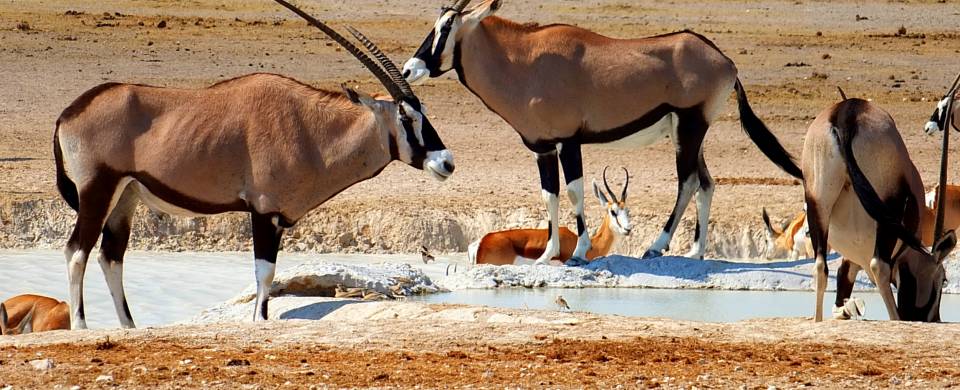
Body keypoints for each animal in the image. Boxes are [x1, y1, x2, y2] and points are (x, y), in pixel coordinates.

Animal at [53, 0, 454, 330]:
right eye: (406, 117)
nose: (446, 162)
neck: (310, 127)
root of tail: (69, 111)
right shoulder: (263, 211)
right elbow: (265, 274)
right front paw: (258, 323)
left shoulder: (276, 218)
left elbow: (270, 275)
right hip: (98, 190)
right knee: (77, 251)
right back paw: (82, 326)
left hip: (126, 198)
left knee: (110, 257)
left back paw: (129, 326)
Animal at [796, 98, 952, 322]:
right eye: (943, 278)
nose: (934, 319)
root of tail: (847, 112)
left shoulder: (851, 259)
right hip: (888, 208)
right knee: (878, 266)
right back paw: (895, 319)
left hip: (818, 203)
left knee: (820, 267)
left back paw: (818, 320)